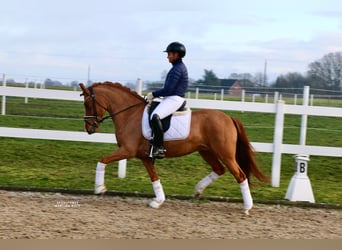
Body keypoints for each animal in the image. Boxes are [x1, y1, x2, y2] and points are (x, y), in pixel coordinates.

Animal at [79, 81, 268, 214]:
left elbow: (102, 160)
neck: (129, 114)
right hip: (206, 151)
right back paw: (197, 191)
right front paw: (158, 201)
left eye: (87, 104)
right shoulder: (144, 156)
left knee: (240, 175)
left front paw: (99, 188)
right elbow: (154, 178)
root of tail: (229, 117)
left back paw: (247, 207)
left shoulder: (127, 150)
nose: (89, 129)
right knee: (219, 170)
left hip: (226, 154)